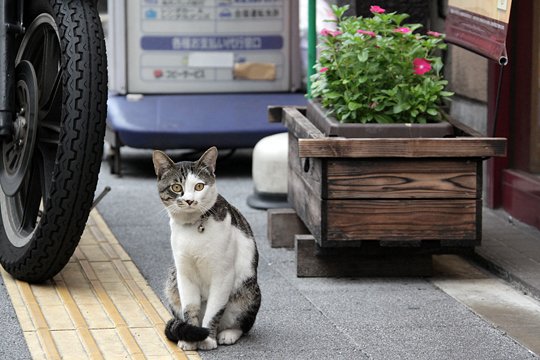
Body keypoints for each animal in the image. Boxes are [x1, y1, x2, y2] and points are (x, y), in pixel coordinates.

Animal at [152, 147, 262, 352]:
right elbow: (190, 308)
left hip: (248, 291)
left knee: (243, 325)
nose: (189, 200)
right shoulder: (184, 273)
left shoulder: (223, 274)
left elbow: (214, 311)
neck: (193, 227)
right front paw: (190, 339)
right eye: (176, 187)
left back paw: (228, 334)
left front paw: (208, 338)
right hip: (172, 283)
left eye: (199, 187)